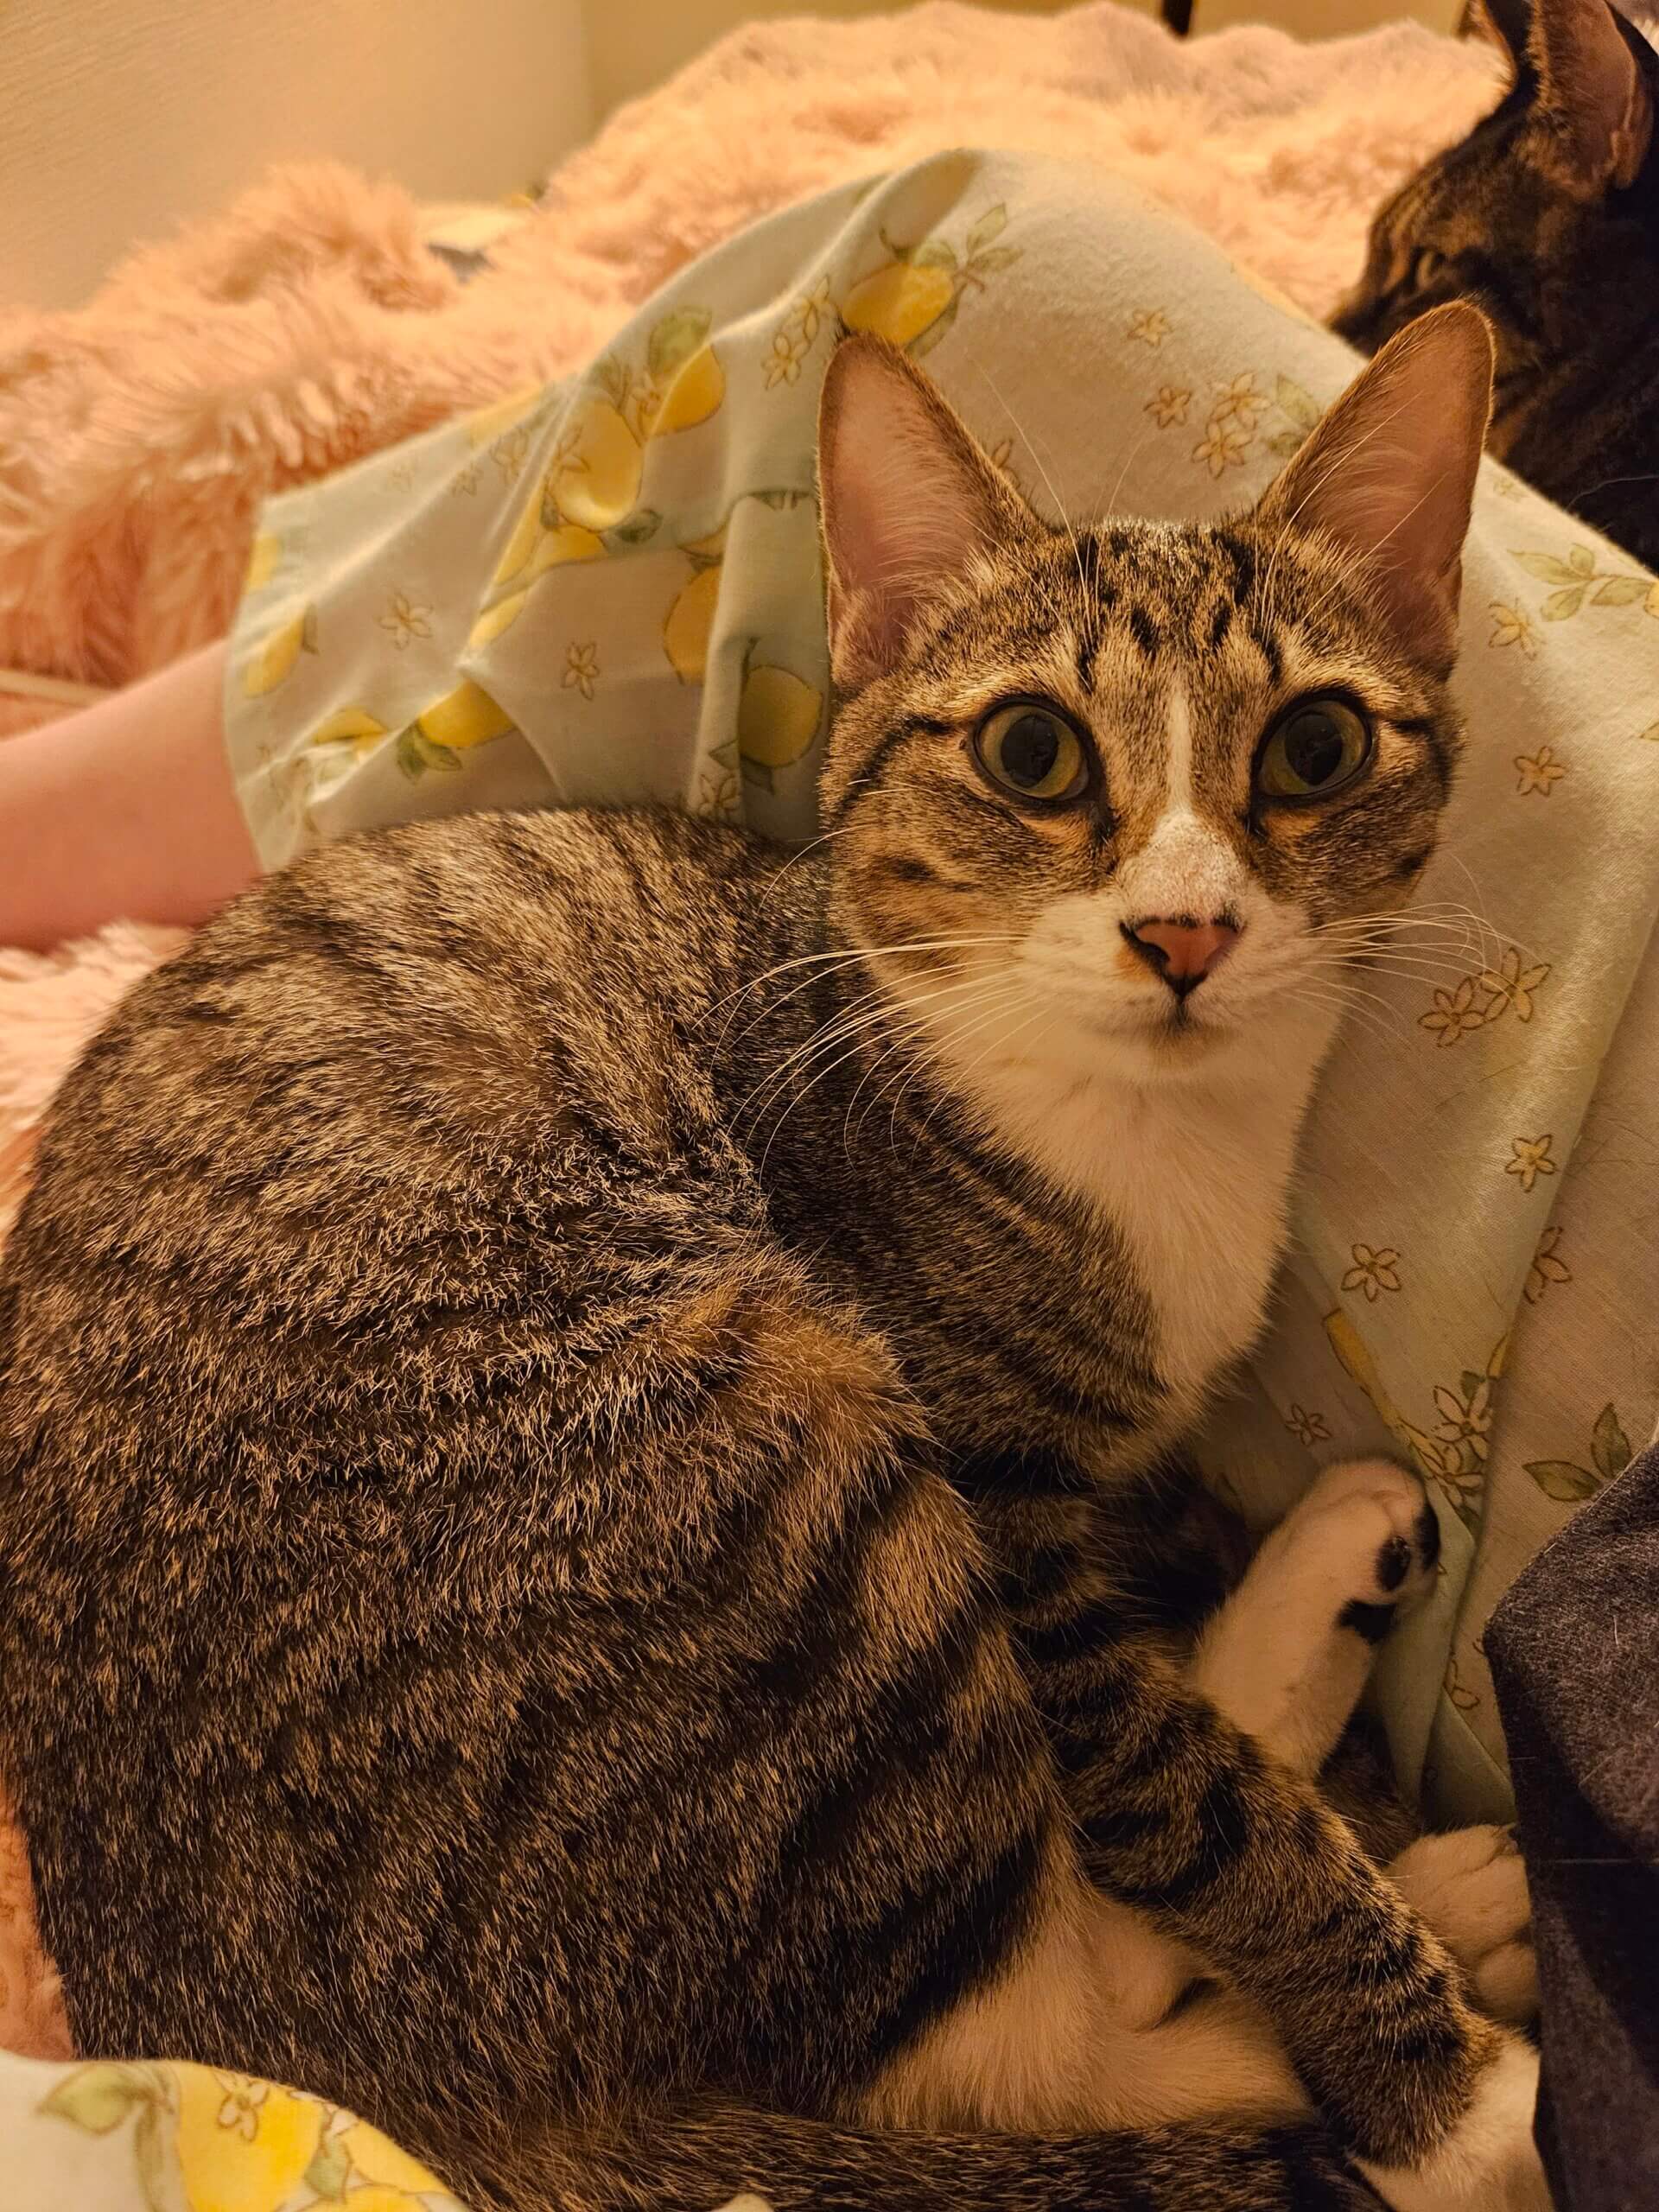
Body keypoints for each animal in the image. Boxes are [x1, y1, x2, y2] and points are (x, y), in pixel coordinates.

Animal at [0, 305, 1546, 2212]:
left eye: (1315, 749)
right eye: (1033, 754)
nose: (1184, 931)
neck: (1147, 1142)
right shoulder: (1001, 1506)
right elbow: (1185, 1804)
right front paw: (1448, 2107)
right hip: (769, 1464)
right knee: (1018, 2032)